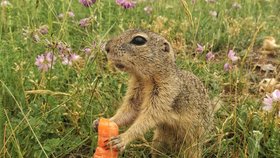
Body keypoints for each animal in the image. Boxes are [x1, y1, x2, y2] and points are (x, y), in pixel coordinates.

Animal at [95, 29, 213, 157]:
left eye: (139, 40)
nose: (107, 47)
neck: (144, 80)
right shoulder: (135, 95)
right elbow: (127, 112)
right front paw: (103, 122)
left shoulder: (164, 94)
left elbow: (147, 118)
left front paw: (122, 139)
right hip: (159, 139)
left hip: (192, 144)